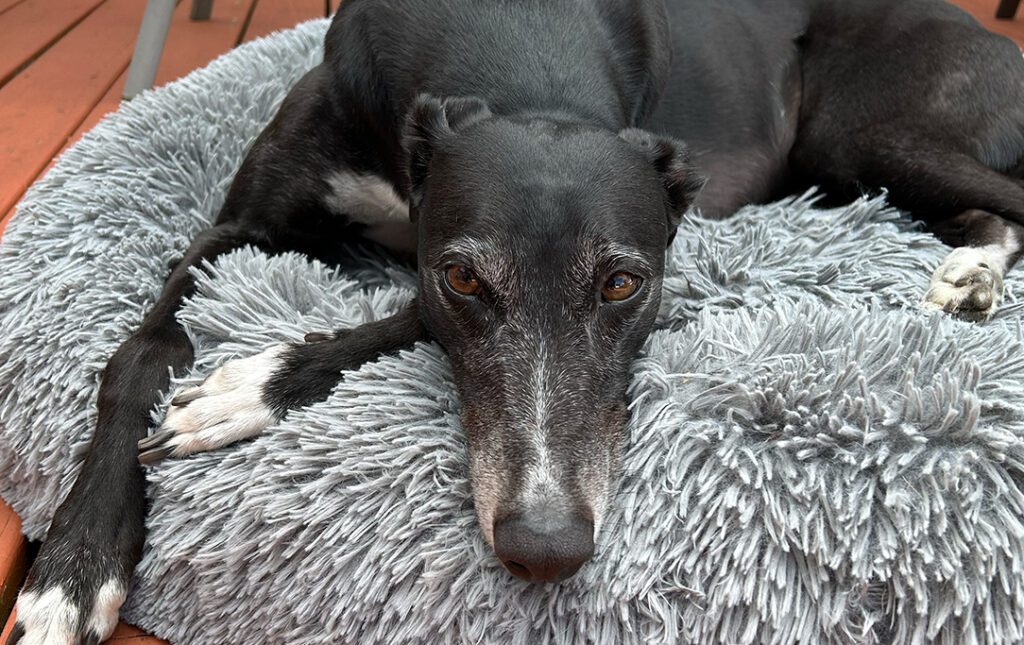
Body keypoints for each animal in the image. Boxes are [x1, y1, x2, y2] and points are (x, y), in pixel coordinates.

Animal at [9, 0, 1024, 642]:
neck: (517, 46)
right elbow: (136, 357)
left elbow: (394, 315)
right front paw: (74, 567)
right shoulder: (235, 233)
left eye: (622, 284)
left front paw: (251, 383)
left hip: (864, 127)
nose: (546, 549)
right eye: (466, 274)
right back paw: (969, 274)